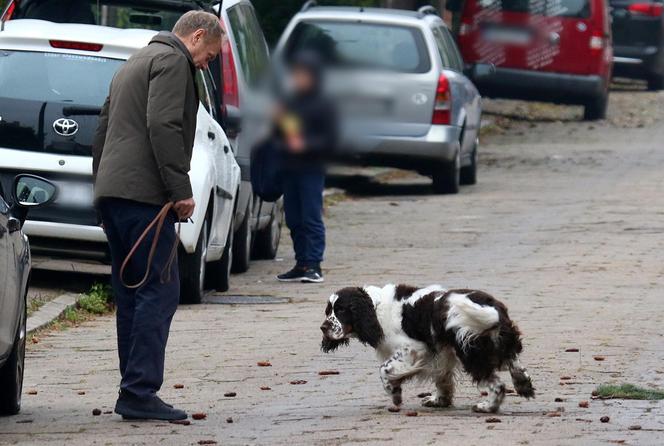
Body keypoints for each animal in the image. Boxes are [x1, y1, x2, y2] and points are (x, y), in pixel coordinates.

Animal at [320, 284, 536, 412]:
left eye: (341, 310)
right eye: (328, 311)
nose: (323, 328)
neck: (376, 308)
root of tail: (493, 308)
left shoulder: (415, 349)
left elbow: (384, 369)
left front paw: (395, 393)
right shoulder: (442, 353)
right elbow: (443, 379)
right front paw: (439, 400)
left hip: (471, 352)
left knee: (496, 384)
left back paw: (487, 406)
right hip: (498, 342)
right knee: (514, 362)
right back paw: (523, 384)